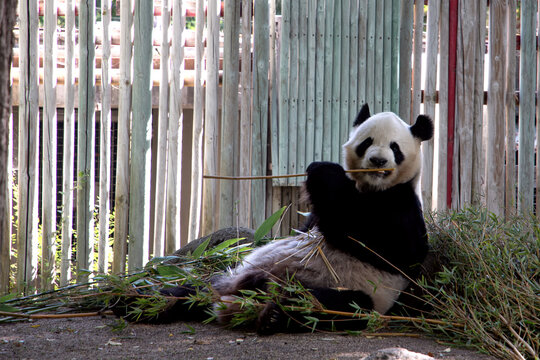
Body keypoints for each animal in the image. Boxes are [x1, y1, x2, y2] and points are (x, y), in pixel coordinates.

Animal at [114, 104, 434, 334]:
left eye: (395, 147)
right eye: (367, 142)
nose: (378, 161)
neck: (372, 188)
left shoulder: (402, 204)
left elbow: (390, 248)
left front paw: (323, 172)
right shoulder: (315, 219)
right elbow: (310, 227)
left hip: (355, 293)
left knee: (339, 305)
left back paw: (274, 314)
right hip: (225, 277)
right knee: (192, 290)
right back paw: (137, 301)